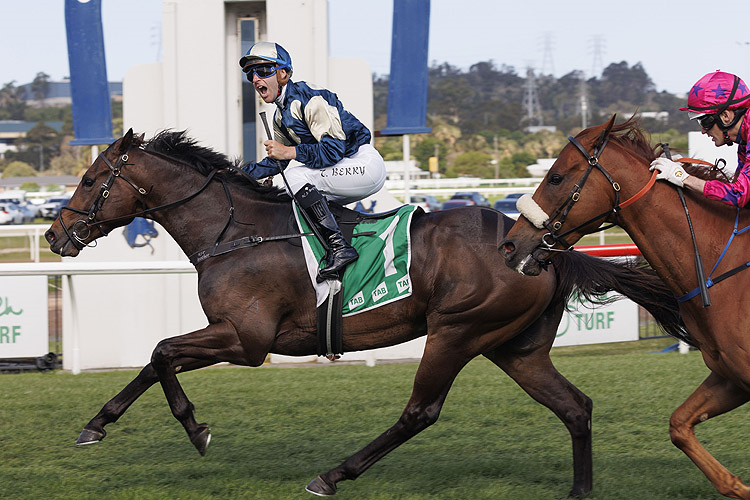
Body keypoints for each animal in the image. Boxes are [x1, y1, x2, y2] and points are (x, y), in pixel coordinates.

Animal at [44, 129, 684, 496]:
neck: (233, 231)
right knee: (575, 407)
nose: (54, 235)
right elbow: (154, 360)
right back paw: (579, 491)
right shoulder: (232, 335)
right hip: (514, 347)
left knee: (420, 411)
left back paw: (332, 475)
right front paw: (96, 424)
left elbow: (162, 352)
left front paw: (195, 429)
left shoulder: (247, 340)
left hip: (457, 330)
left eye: (92, 179)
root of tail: (542, 247)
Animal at [502, 115, 750, 498]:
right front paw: (738, 486)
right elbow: (679, 426)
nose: (511, 245)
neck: (718, 266)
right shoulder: (731, 376)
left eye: (555, 176)